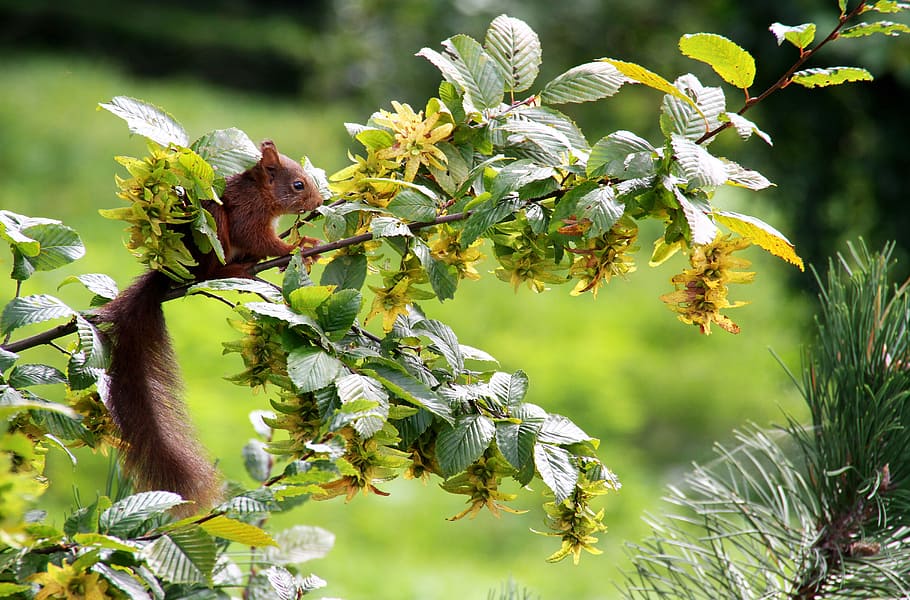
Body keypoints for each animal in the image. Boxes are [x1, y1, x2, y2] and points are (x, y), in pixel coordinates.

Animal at [97, 140, 324, 509]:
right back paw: (234, 270)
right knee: (208, 272)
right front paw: (298, 246)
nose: (319, 204)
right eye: (298, 185)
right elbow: (260, 239)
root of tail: (170, 277)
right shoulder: (248, 214)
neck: (261, 193)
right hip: (212, 233)